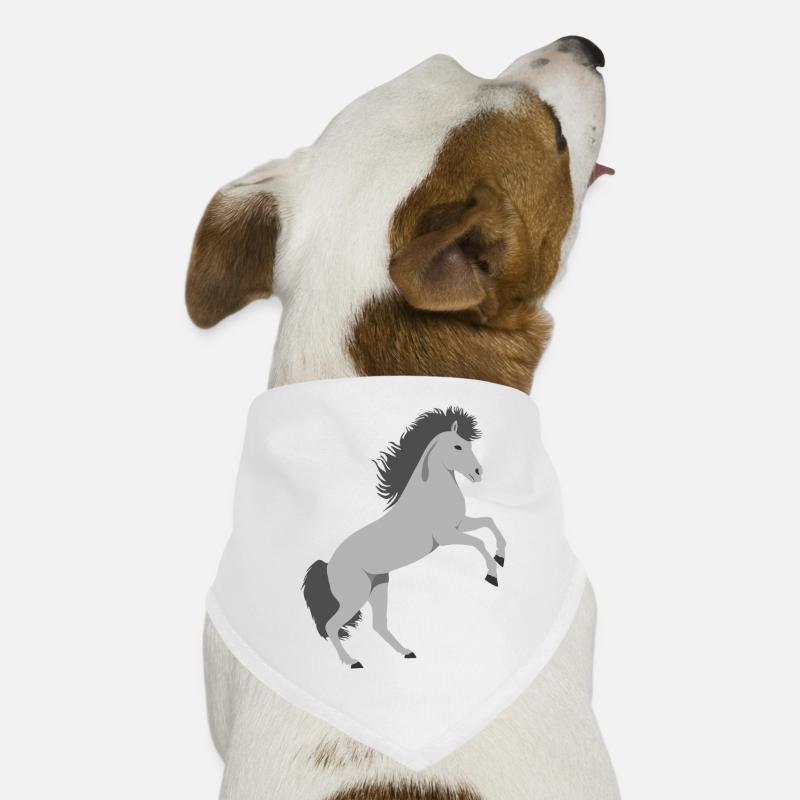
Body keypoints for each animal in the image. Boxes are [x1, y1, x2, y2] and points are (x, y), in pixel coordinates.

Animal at [302, 406, 506, 668]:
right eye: (457, 447)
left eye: (469, 445)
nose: (478, 473)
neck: (431, 494)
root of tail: (329, 564)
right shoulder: (446, 536)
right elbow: (479, 542)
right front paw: (492, 576)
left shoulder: (459, 525)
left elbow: (489, 523)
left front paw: (501, 557)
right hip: (355, 597)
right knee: (331, 626)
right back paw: (353, 662)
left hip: (379, 587)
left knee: (378, 625)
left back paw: (407, 652)